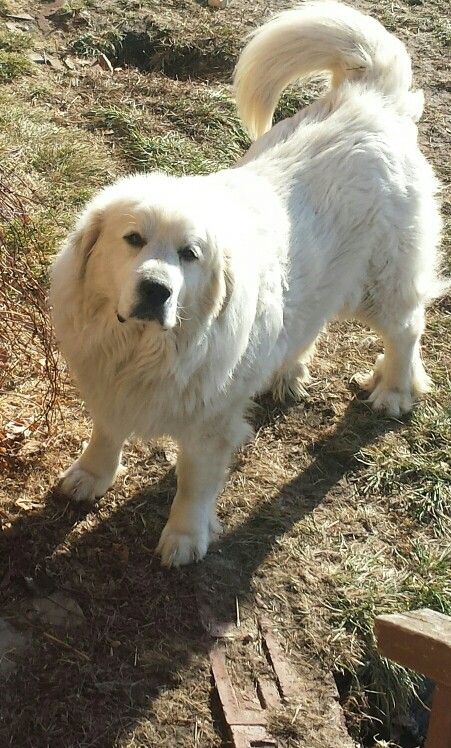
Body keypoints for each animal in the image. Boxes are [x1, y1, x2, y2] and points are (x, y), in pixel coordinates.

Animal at [50, 0, 444, 568]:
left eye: (190, 255)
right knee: (307, 322)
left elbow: (194, 483)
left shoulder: (210, 424)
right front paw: (90, 475)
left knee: (407, 328)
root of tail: (370, 100)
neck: (147, 349)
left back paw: (393, 388)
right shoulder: (109, 381)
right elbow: (106, 433)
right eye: (133, 239)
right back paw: (287, 372)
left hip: (383, 283)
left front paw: (184, 538)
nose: (157, 290)